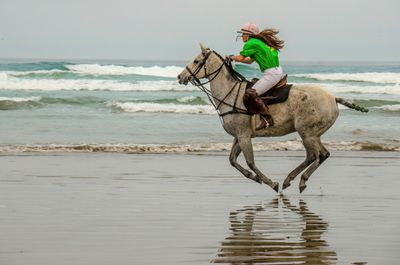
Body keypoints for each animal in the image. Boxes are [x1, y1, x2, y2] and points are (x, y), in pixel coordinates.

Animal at [178, 43, 368, 192]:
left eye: (196, 61)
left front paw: (269, 182)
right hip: (312, 134)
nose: (181, 77)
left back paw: (299, 180)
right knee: (316, 156)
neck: (230, 94)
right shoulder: (240, 135)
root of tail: (334, 98)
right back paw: (290, 179)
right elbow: (232, 160)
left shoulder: (244, 136)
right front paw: (254, 177)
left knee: (319, 155)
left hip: (308, 133)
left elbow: (250, 162)